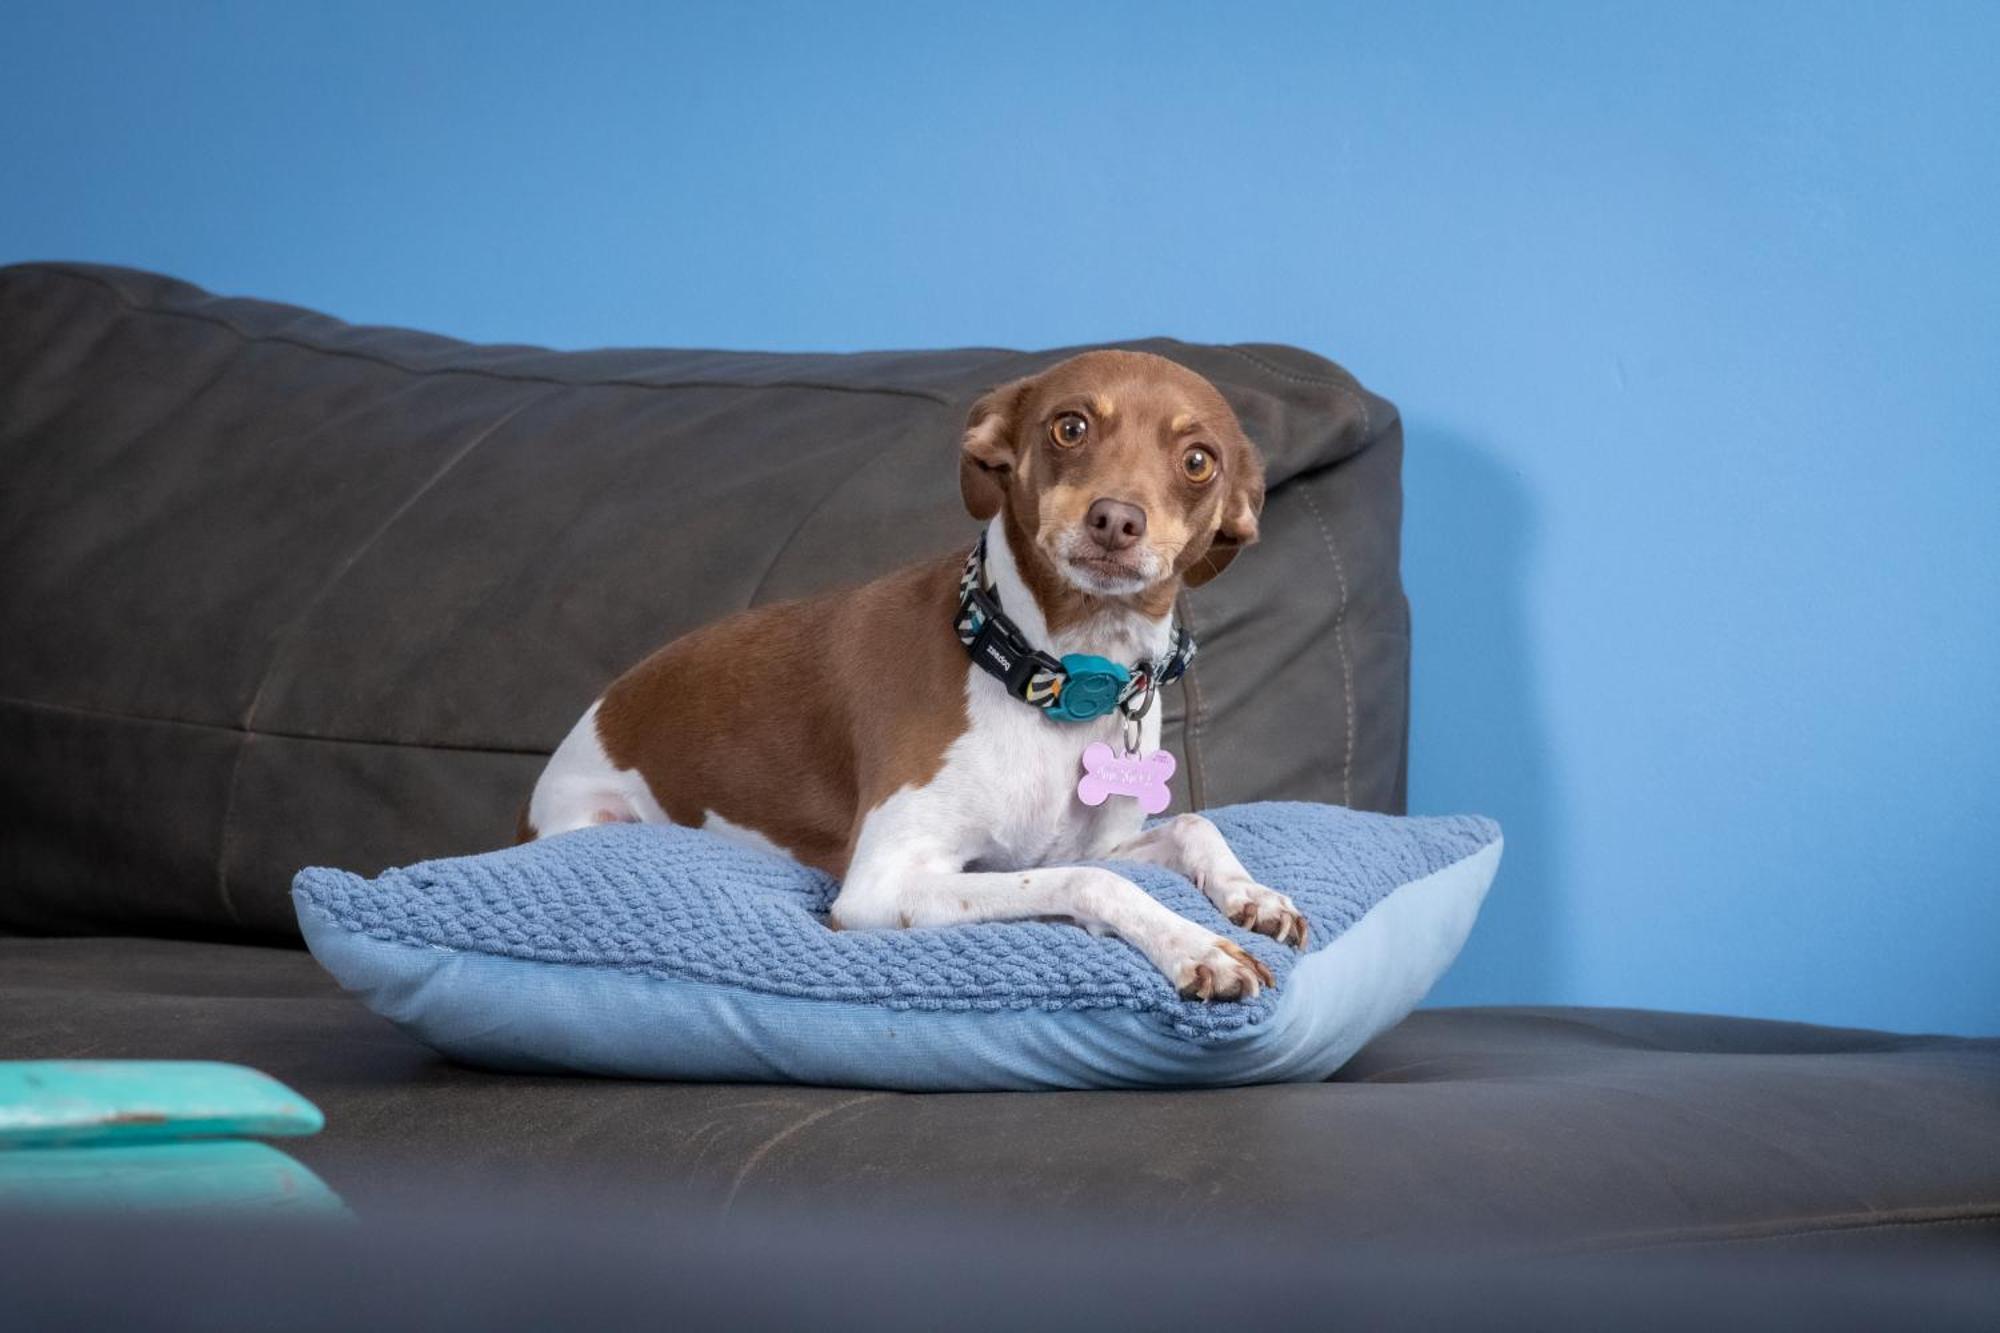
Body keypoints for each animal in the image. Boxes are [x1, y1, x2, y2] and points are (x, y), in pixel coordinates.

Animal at [528, 352, 1312, 996]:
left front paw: (1255, 895)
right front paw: (1193, 945)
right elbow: (1086, 881)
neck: (1060, 678)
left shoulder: (1110, 841)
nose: (1116, 520)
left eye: (1199, 461)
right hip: (593, 821)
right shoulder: (881, 884)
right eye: (1070, 426)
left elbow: (1191, 827)